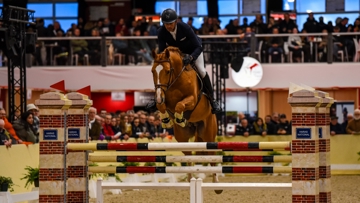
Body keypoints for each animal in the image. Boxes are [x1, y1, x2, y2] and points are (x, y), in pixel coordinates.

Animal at [150, 46, 222, 194]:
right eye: (153, 71)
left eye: (167, 71)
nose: (158, 97)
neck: (175, 80)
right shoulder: (165, 100)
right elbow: (163, 106)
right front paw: (167, 119)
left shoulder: (192, 100)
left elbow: (180, 105)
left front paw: (180, 118)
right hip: (182, 137)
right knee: (188, 155)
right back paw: (190, 179)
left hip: (208, 134)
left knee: (211, 155)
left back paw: (216, 184)